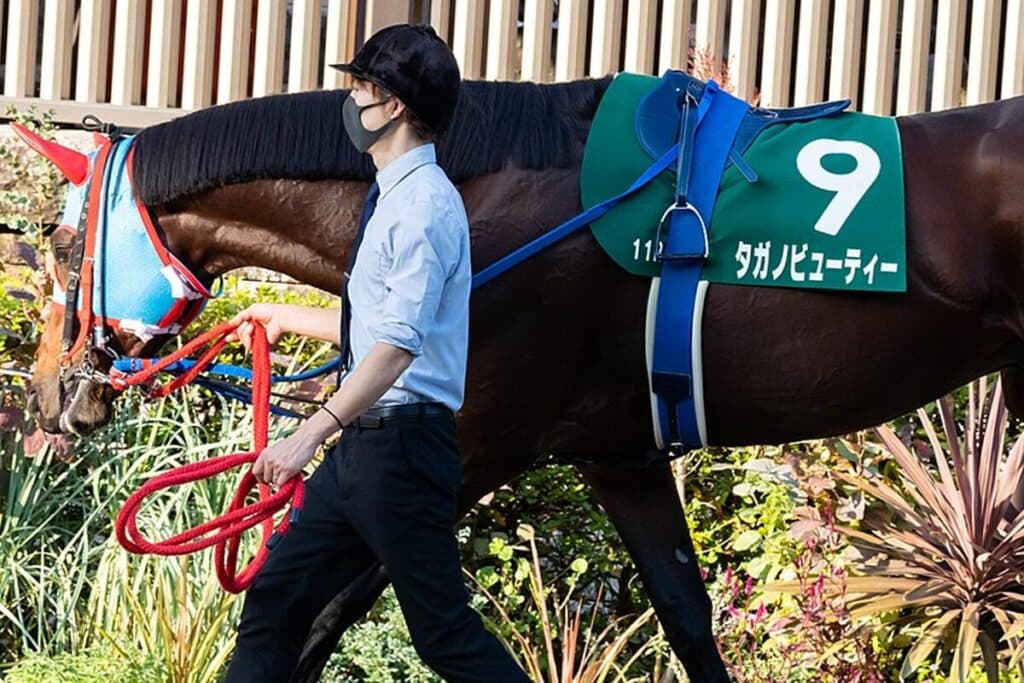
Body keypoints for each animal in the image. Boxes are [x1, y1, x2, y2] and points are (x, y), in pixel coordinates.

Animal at [17, 75, 1024, 681]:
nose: (45, 395)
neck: (478, 190)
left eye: (60, 242)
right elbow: (687, 614)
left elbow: (319, 612)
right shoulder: (620, 452)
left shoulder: (471, 444)